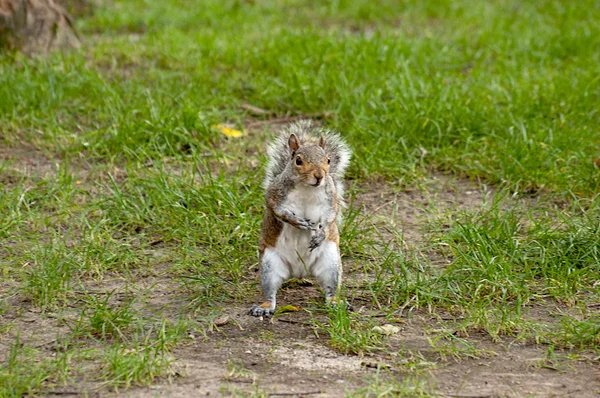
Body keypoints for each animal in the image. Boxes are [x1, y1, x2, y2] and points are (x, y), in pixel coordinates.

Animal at [248, 119, 352, 318]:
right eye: (298, 160)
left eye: (328, 160)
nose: (319, 176)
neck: (307, 188)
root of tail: (300, 271)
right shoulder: (275, 195)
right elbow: (277, 210)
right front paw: (296, 221)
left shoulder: (331, 199)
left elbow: (330, 216)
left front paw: (320, 234)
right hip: (269, 265)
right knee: (270, 292)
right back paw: (265, 307)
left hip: (331, 263)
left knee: (331, 290)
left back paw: (336, 303)